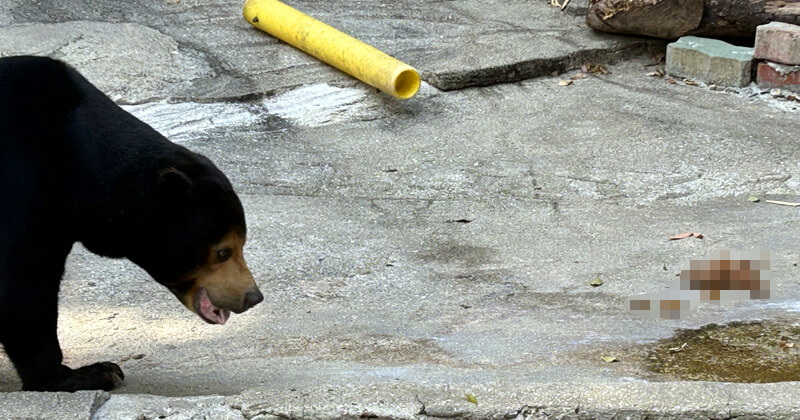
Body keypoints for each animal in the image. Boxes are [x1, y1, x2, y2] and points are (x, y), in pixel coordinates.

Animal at [0, 55, 264, 390]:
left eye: (242, 245)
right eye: (222, 251)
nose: (252, 296)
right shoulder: (23, 189)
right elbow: (23, 284)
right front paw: (85, 373)